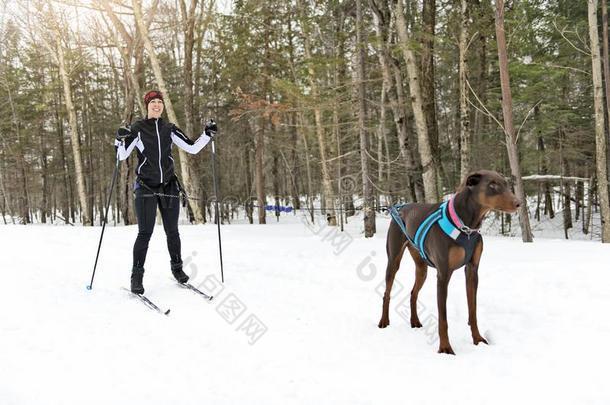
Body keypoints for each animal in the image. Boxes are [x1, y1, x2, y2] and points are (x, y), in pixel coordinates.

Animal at [380, 169, 516, 352]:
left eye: (506, 184)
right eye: (492, 185)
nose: (518, 203)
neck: (466, 226)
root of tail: (400, 208)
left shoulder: (472, 271)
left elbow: (472, 311)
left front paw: (478, 339)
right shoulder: (443, 274)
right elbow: (442, 319)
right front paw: (445, 348)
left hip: (422, 267)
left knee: (413, 293)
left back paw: (414, 321)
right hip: (393, 260)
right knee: (387, 293)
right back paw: (383, 321)